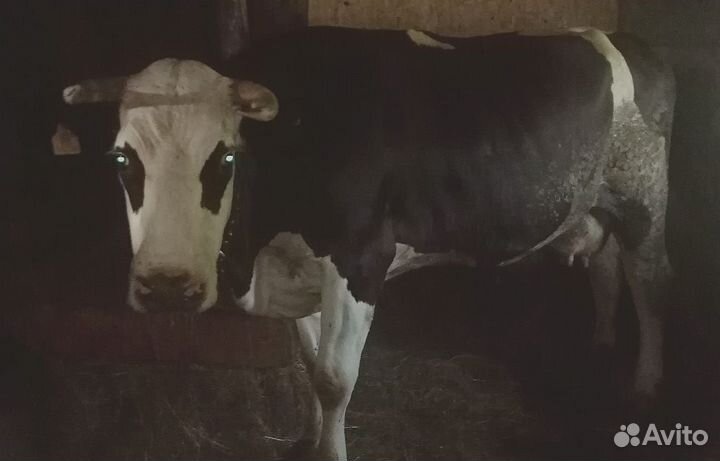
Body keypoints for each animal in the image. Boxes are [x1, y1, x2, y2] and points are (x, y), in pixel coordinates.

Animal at [62, 27, 674, 460]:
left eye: (227, 157)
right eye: (121, 159)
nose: (168, 286)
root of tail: (628, 42)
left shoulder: (359, 260)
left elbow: (334, 379)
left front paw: (329, 449)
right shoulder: (299, 266)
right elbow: (310, 363)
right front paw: (308, 436)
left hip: (646, 197)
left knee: (650, 289)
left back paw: (645, 384)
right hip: (596, 201)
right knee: (605, 269)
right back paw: (600, 343)